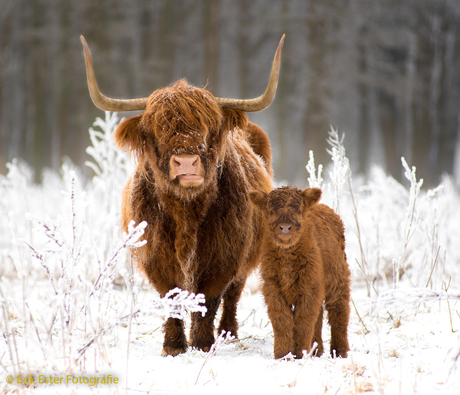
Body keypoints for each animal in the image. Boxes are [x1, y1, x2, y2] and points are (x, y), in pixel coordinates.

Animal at [82, 34, 284, 356]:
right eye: (156, 128)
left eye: (209, 126)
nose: (187, 162)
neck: (186, 211)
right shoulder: (155, 256)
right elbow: (172, 297)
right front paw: (174, 345)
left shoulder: (225, 255)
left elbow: (209, 299)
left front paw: (202, 343)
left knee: (234, 294)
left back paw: (228, 332)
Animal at [250, 187, 350, 360]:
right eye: (271, 211)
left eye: (298, 210)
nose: (285, 228)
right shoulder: (272, 288)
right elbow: (282, 320)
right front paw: (282, 354)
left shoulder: (309, 288)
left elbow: (303, 321)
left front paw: (300, 354)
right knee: (320, 315)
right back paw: (317, 350)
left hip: (338, 278)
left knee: (339, 311)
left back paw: (340, 352)